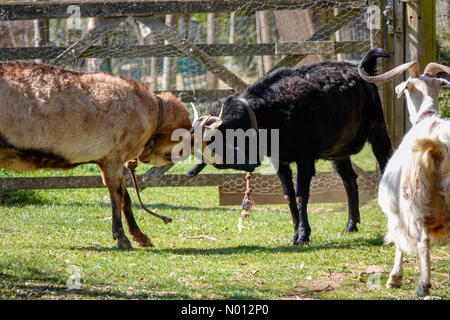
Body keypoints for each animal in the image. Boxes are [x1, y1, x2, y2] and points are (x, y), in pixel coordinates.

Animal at [0, 61, 192, 249]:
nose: (185, 153)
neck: (150, 111)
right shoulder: (114, 156)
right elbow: (117, 195)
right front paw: (121, 238)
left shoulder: (107, 159)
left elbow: (126, 198)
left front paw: (140, 236)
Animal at [185, 49, 390, 245]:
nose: (251, 165)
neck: (272, 113)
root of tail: (362, 69)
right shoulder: (280, 161)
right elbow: (288, 196)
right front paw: (295, 234)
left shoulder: (305, 158)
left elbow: (301, 195)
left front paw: (303, 236)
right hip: (338, 152)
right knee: (349, 182)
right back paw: (350, 225)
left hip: (378, 131)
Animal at [358, 48, 450, 298]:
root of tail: (436, 146)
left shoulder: (395, 211)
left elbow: (399, 241)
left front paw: (394, 279)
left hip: (414, 201)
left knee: (422, 241)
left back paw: (422, 286)